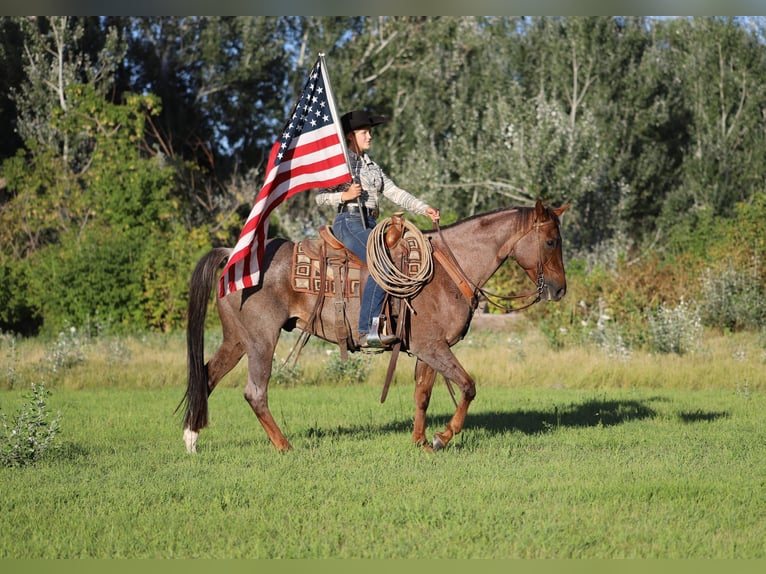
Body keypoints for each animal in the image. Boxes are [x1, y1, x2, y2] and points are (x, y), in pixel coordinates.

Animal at [178, 200, 564, 456]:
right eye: (550, 241)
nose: (560, 290)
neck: (446, 270)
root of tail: (231, 255)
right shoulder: (434, 347)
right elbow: (468, 387)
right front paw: (442, 437)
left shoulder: (428, 349)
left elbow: (422, 394)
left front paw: (421, 442)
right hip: (261, 340)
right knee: (255, 392)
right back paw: (285, 446)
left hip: (236, 340)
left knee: (206, 377)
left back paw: (191, 441)